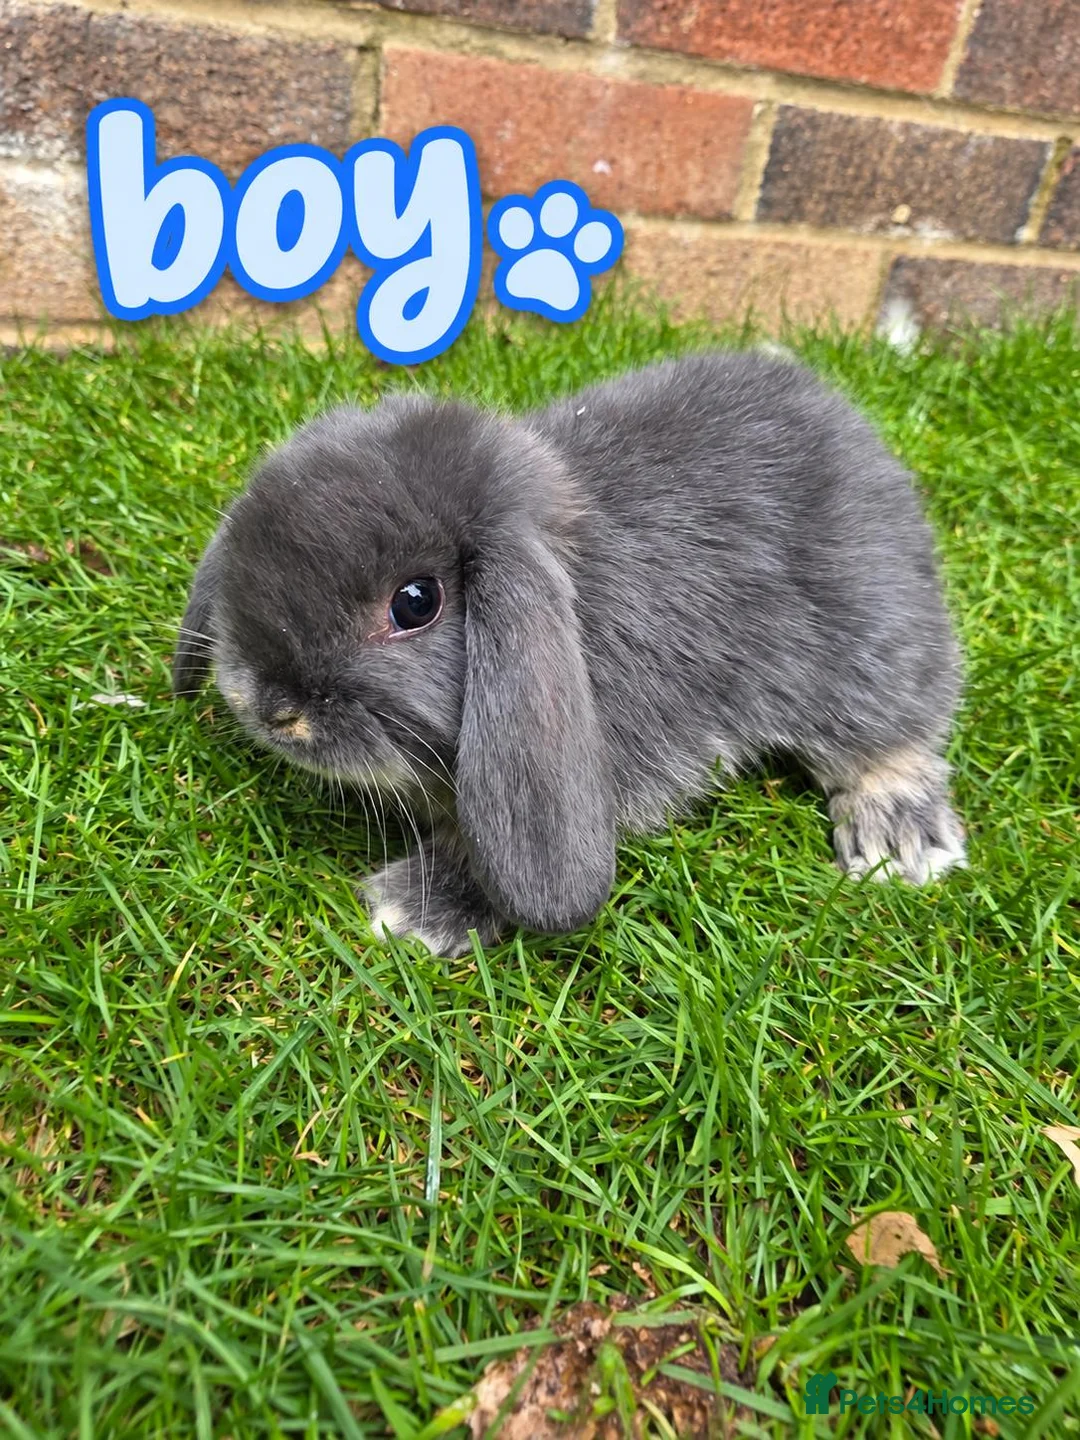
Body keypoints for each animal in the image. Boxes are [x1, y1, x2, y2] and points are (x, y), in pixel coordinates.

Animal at [173, 350, 967, 957]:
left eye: (416, 603)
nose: (270, 708)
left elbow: (480, 845)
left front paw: (414, 914)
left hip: (870, 648)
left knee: (894, 738)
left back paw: (897, 842)